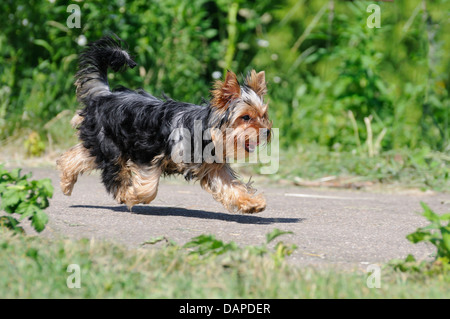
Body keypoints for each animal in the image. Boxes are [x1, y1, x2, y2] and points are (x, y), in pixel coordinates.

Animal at [58, 35, 272, 215]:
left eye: (264, 116)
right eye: (245, 117)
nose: (268, 131)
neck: (206, 131)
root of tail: (104, 95)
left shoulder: (213, 167)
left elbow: (230, 185)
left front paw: (251, 203)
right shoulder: (147, 153)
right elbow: (149, 186)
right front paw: (131, 195)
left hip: (101, 143)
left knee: (78, 156)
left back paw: (66, 180)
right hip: (110, 145)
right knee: (112, 170)